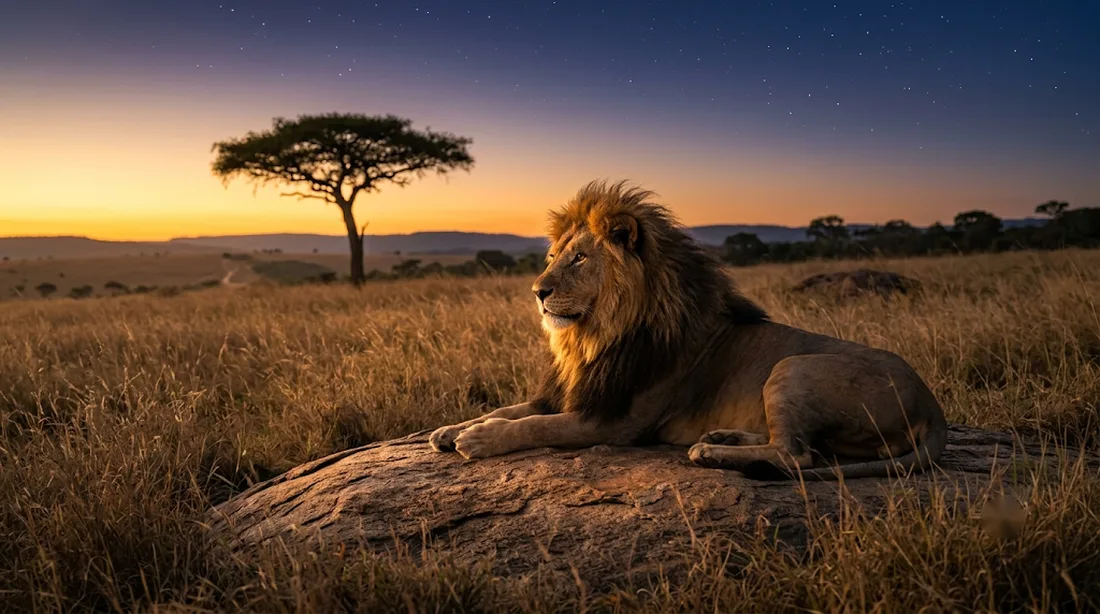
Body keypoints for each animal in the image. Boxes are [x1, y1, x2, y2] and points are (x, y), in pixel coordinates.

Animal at [430, 180, 948, 480]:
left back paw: (710, 453)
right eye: (554, 256)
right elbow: (507, 409)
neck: (593, 338)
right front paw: (452, 429)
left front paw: (479, 440)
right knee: (795, 446)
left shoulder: (614, 422)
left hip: (792, 367)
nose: (538, 291)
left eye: (579, 259)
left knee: (797, 456)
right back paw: (725, 439)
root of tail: (933, 404)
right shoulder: (574, 393)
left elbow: (532, 424)